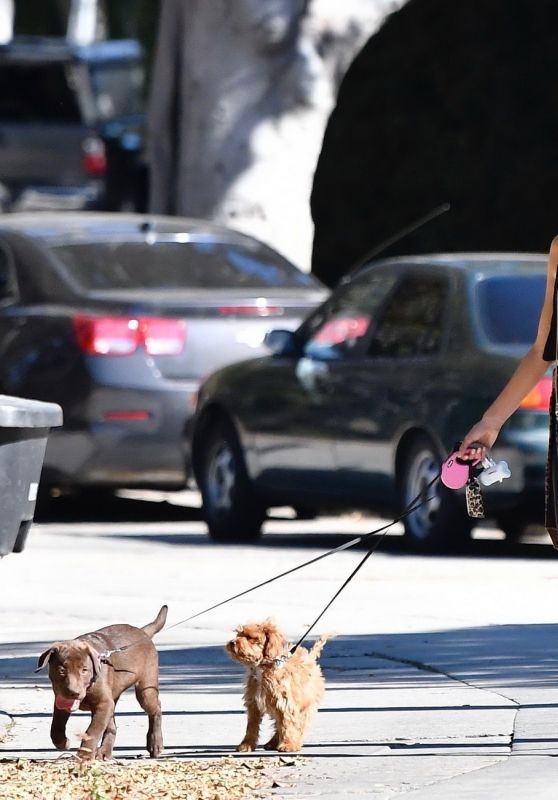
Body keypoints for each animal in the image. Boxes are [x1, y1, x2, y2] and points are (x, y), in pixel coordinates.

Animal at [228, 620, 332, 752]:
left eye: (250, 637)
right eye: (238, 634)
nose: (232, 642)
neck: (263, 667)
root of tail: (310, 659)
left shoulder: (285, 702)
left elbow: (288, 724)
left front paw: (288, 745)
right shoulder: (253, 703)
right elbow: (252, 725)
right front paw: (246, 745)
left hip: (305, 704)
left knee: (299, 724)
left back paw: (292, 742)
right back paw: (273, 742)